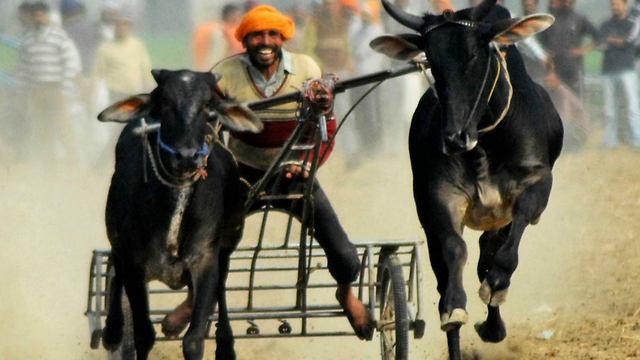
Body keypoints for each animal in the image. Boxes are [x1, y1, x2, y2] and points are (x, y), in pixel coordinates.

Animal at [98, 69, 262, 360]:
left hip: (230, 240)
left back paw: (223, 343)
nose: (186, 156)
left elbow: (194, 339)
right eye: (164, 101)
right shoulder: (134, 265)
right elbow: (143, 334)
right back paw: (113, 331)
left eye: (208, 104)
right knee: (114, 267)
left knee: (221, 285)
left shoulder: (205, 261)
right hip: (114, 235)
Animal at [372, 1, 564, 358]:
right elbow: (454, 250)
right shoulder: (441, 196)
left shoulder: (536, 183)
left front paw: (496, 287)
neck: (484, 143)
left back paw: (493, 323)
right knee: (445, 270)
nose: (454, 137)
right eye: (431, 61)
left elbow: (506, 247)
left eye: (476, 52)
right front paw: (454, 306)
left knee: (488, 255)